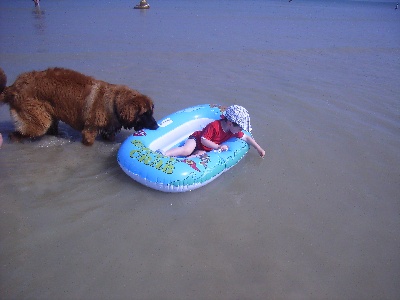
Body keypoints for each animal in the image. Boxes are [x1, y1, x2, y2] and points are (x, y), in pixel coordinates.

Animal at [0, 67, 159, 145]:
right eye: (144, 114)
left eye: (151, 112)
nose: (157, 126)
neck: (113, 102)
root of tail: (14, 86)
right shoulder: (89, 131)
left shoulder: (108, 132)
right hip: (39, 122)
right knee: (16, 134)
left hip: (49, 117)